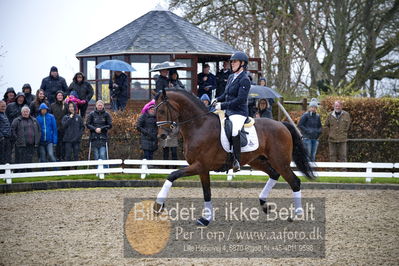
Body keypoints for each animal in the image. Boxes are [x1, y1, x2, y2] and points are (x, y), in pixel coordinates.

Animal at [154, 89, 316, 227]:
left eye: (162, 110)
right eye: (155, 111)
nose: (161, 136)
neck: (199, 126)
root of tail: (281, 124)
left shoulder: (200, 165)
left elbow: (172, 175)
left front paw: (158, 205)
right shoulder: (202, 169)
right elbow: (207, 193)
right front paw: (205, 219)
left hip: (280, 161)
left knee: (294, 181)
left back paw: (296, 214)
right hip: (257, 160)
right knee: (274, 174)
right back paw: (264, 204)